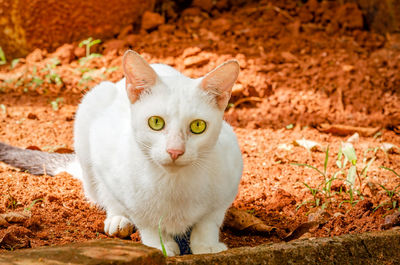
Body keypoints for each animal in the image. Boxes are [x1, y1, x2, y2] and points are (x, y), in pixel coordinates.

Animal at [0, 50, 241, 256]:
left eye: (198, 126)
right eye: (156, 122)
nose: (175, 150)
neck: (174, 185)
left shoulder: (229, 181)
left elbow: (208, 221)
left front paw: (206, 246)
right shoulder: (106, 157)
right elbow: (144, 218)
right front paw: (160, 245)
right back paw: (118, 220)